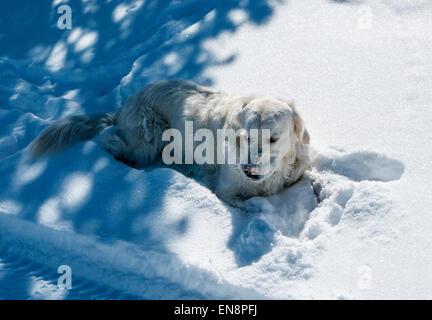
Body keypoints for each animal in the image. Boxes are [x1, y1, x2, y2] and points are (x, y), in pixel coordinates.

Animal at [28, 80, 310, 205]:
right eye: (246, 137)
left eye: (273, 138)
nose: (249, 170)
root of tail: (128, 102)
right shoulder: (227, 190)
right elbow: (249, 205)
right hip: (148, 137)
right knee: (109, 140)